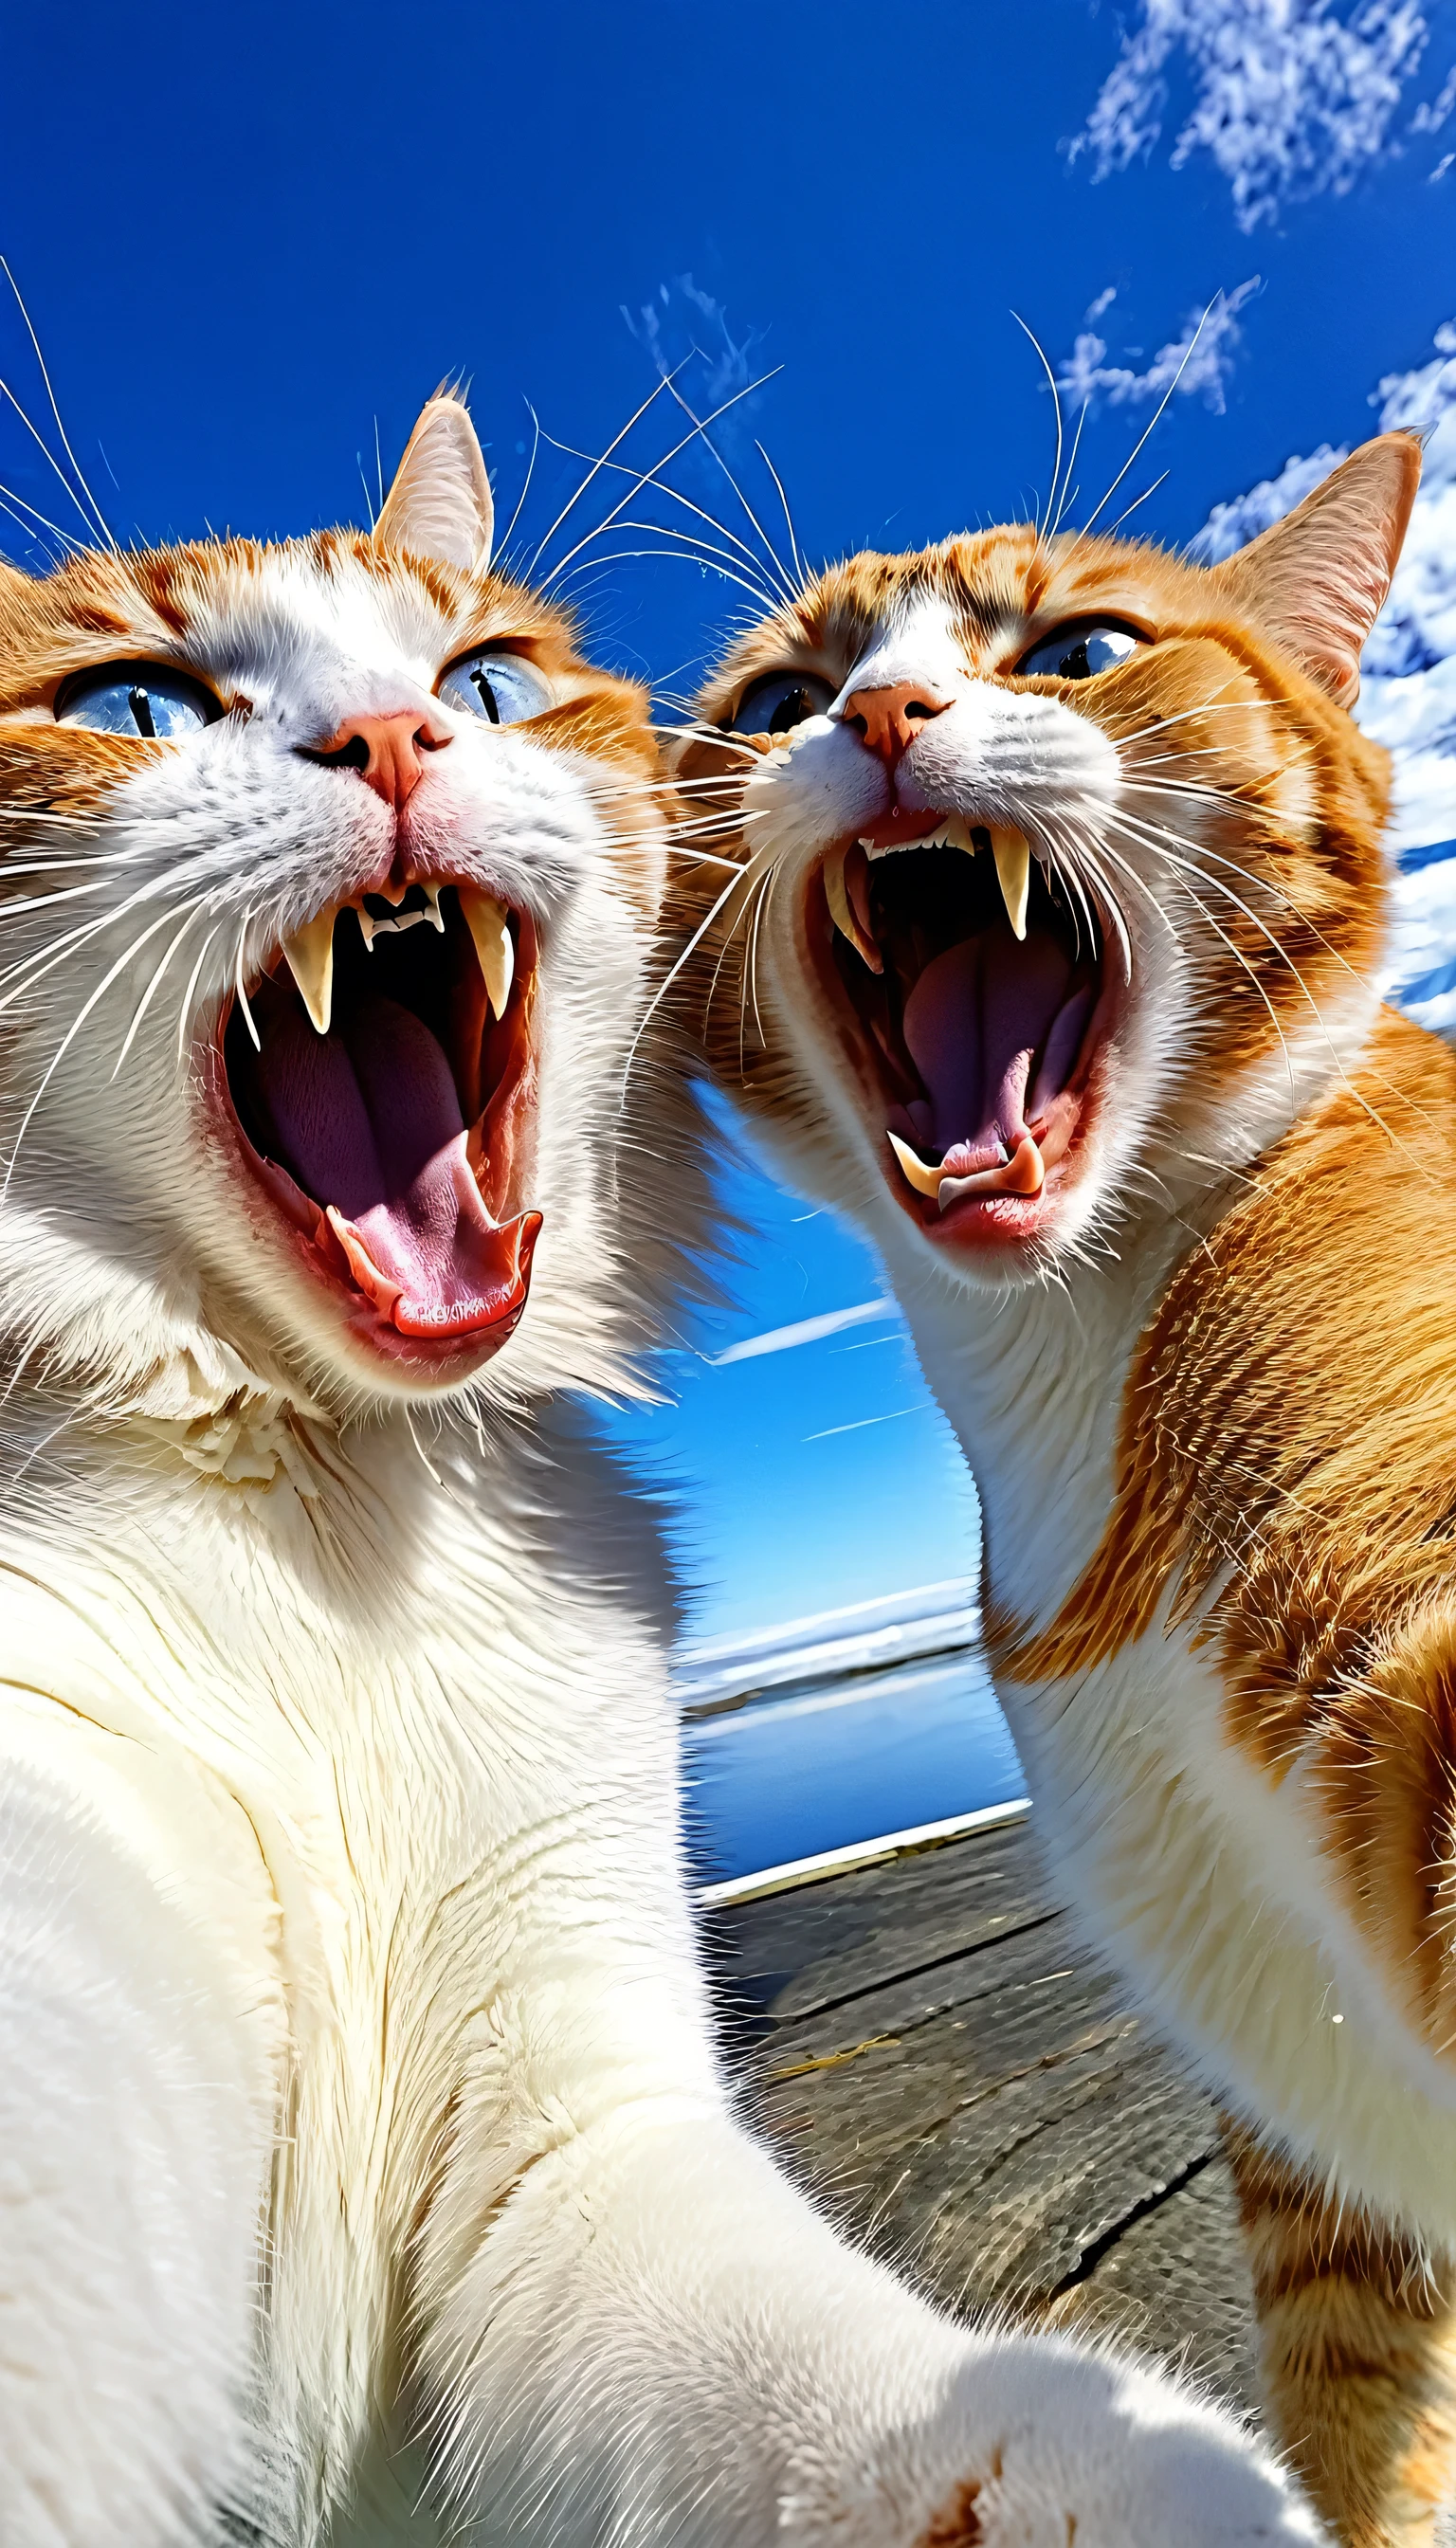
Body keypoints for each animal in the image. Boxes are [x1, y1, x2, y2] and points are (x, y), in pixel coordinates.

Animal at [0, 382, 1316, 2548]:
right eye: (131, 703)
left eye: (485, 677)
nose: (398, 738)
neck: (334, 1492)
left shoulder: (568, 2144)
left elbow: (819, 2377)